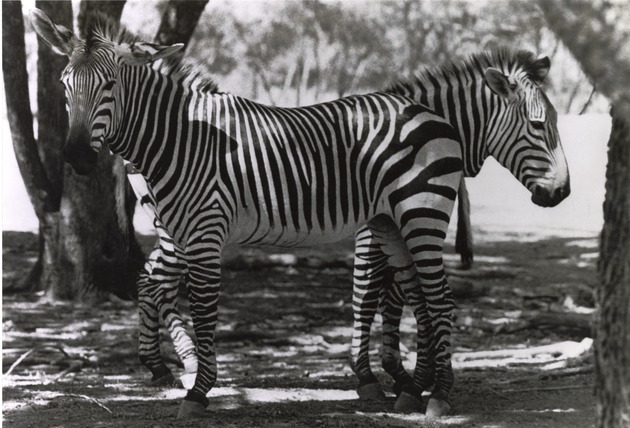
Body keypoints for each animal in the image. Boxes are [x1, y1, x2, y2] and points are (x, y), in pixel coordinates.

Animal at [30, 9, 572, 418]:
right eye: (64, 84)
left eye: (109, 86)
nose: (75, 156)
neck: (181, 137)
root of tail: (427, 114)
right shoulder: (202, 230)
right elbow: (379, 297)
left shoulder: (208, 231)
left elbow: (212, 308)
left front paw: (201, 391)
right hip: (398, 222)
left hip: (417, 214)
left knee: (437, 299)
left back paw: (436, 395)